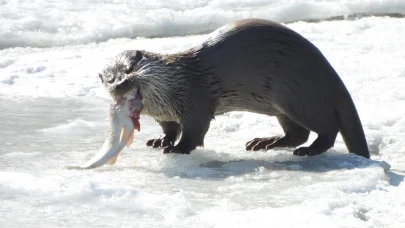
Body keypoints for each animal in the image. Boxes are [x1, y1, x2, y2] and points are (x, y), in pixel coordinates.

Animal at [98, 18, 370, 159]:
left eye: (130, 68)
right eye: (109, 79)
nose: (121, 84)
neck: (171, 87)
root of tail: (331, 76)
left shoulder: (195, 101)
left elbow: (194, 130)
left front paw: (178, 148)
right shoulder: (165, 115)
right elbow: (170, 129)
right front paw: (160, 140)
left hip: (299, 97)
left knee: (327, 129)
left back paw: (308, 150)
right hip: (284, 105)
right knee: (297, 133)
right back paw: (265, 143)